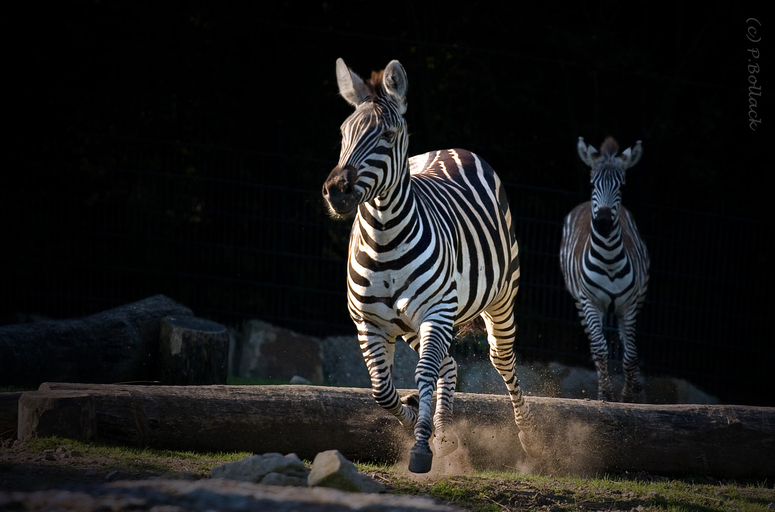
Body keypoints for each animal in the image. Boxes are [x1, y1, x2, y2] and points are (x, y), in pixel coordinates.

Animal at [322, 59, 540, 472]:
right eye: (342, 132)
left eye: (387, 135)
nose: (337, 191)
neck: (384, 242)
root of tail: (450, 148)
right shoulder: (368, 323)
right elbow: (381, 390)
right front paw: (415, 425)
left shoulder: (436, 312)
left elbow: (422, 374)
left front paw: (422, 447)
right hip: (413, 324)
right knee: (449, 366)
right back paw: (445, 434)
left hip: (497, 300)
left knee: (500, 360)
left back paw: (530, 438)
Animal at [560, 136, 652, 404]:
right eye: (593, 183)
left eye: (621, 186)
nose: (602, 223)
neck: (609, 258)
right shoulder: (590, 302)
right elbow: (600, 349)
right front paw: (605, 393)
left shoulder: (628, 306)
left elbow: (630, 355)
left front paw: (627, 394)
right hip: (580, 303)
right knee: (596, 343)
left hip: (637, 299)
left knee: (627, 342)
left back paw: (637, 385)